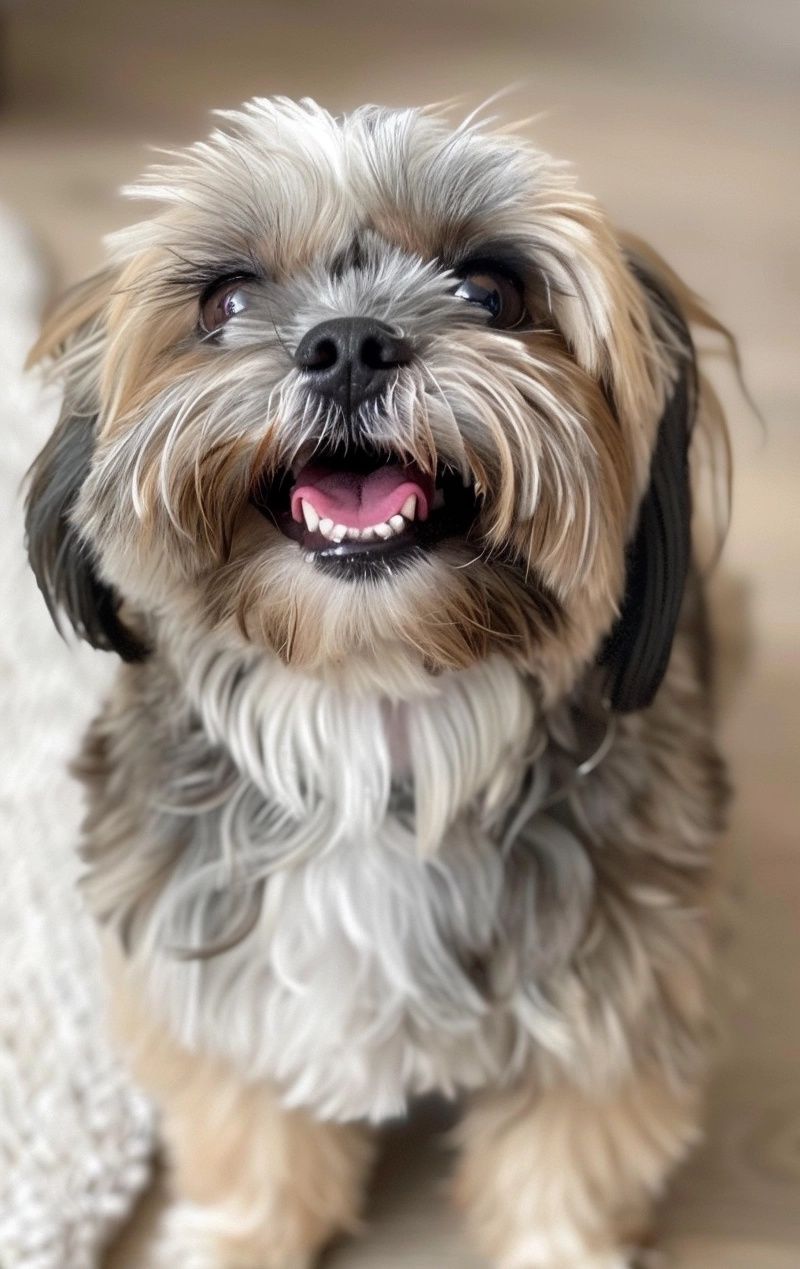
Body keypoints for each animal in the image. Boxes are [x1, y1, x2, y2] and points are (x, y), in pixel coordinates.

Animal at [23, 98, 731, 1269]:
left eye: (493, 290)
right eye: (226, 299)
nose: (348, 343)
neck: (374, 704)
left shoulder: (608, 1004)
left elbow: (564, 1168)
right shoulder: (220, 986)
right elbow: (248, 1141)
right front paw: (234, 1239)